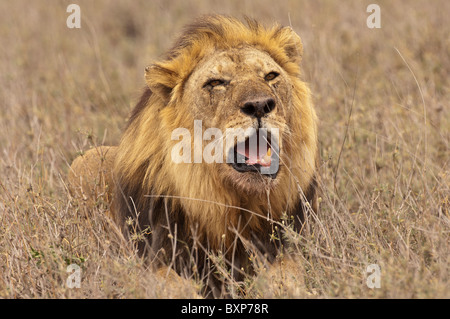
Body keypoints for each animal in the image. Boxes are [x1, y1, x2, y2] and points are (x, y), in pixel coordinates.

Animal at [68, 15, 318, 298]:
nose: (260, 105)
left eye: (271, 76)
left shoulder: (284, 249)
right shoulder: (149, 260)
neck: (231, 202)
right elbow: (174, 286)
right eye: (216, 83)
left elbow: (286, 280)